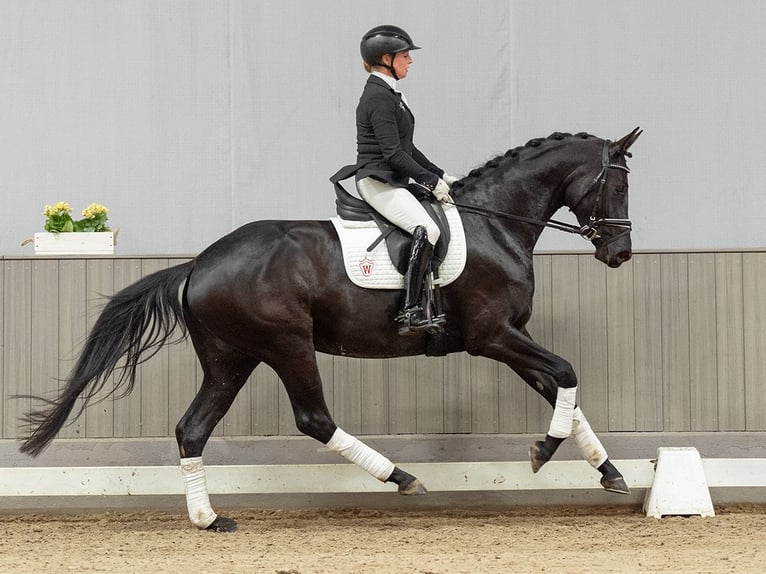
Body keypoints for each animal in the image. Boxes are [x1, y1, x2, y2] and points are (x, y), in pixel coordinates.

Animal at [19, 128, 642, 532]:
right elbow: (567, 373)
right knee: (313, 418)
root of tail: (197, 264)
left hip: (230, 357)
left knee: (191, 429)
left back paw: (209, 519)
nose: (621, 254)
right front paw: (543, 451)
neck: (497, 224)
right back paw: (402, 478)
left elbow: (564, 392)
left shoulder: (509, 339)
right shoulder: (492, 336)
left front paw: (609, 474)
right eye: (619, 186)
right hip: (287, 344)